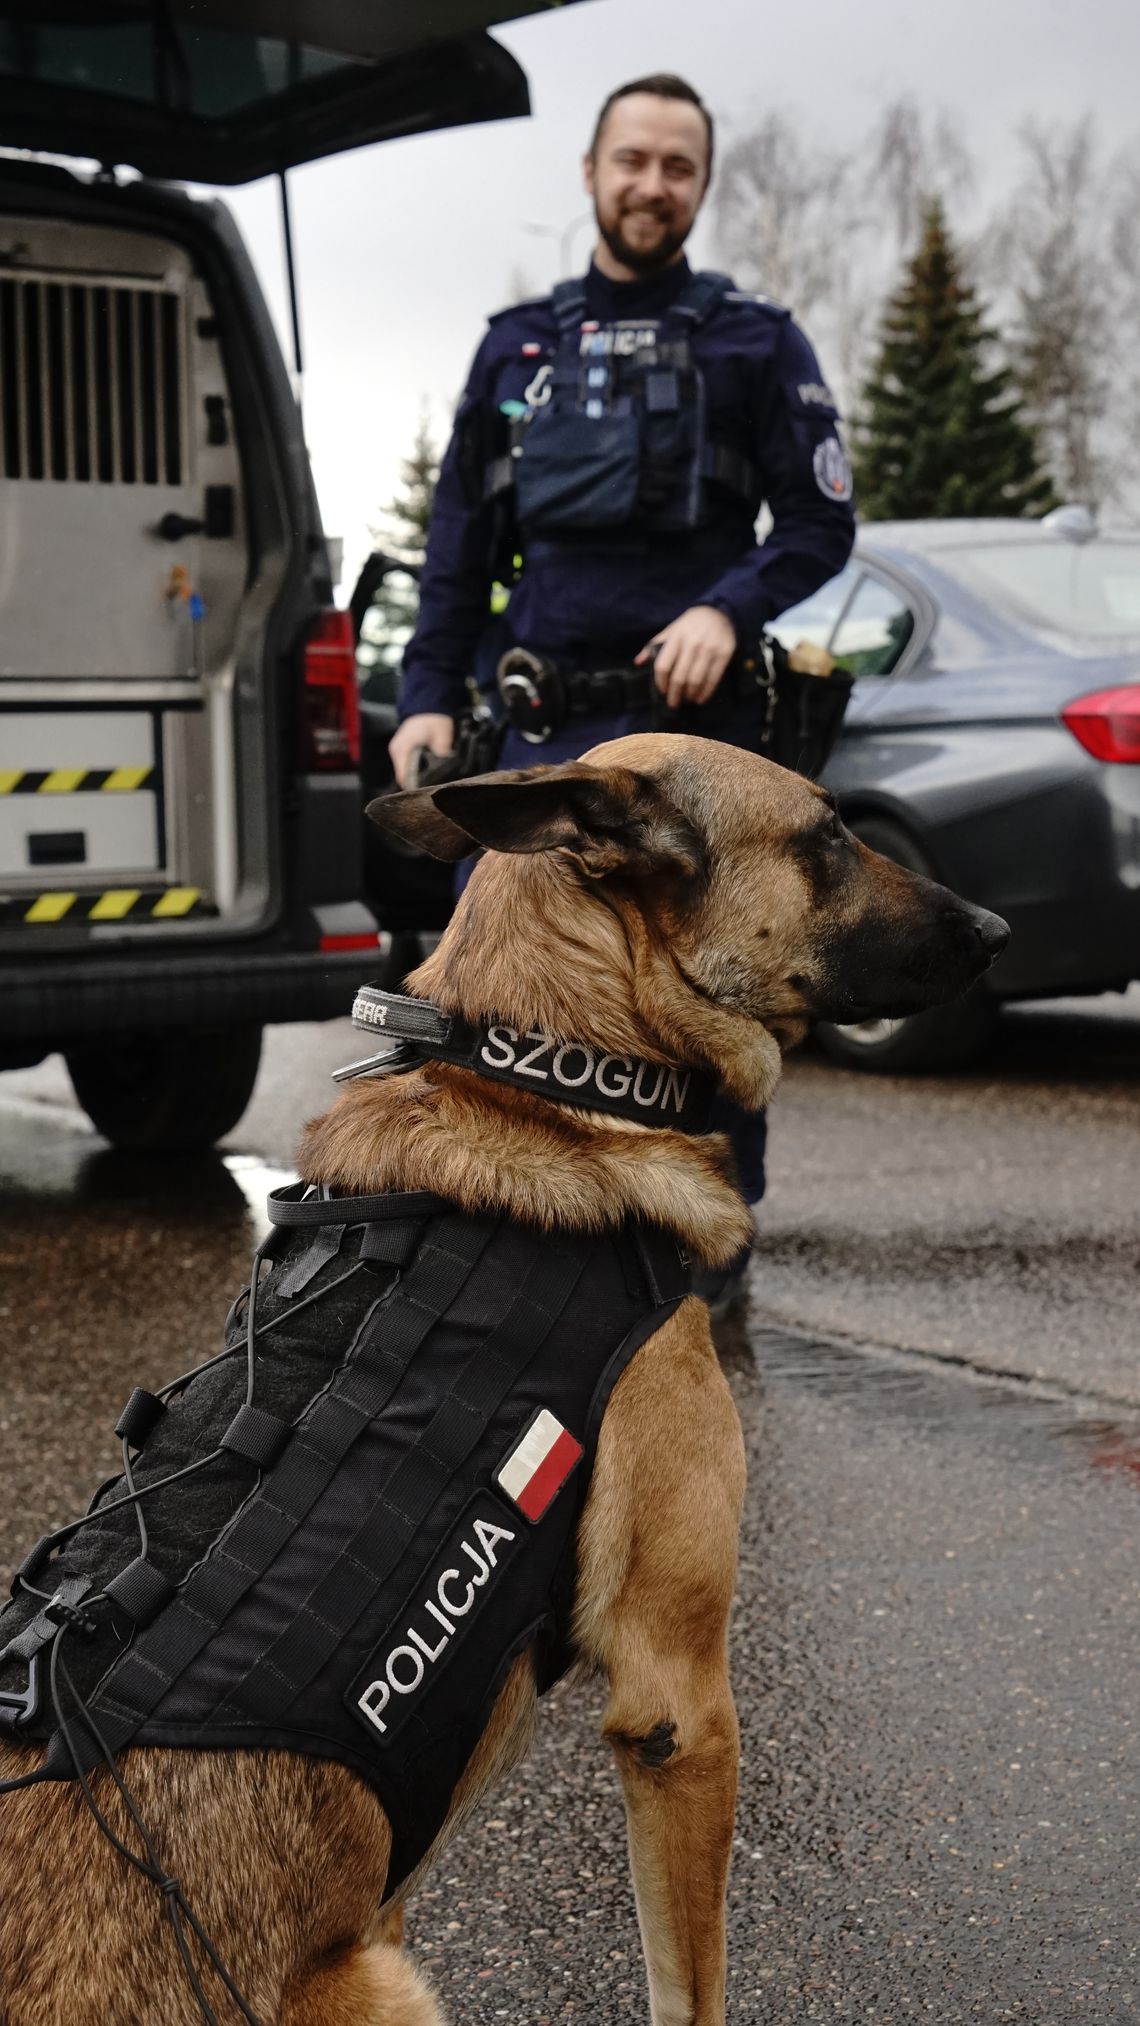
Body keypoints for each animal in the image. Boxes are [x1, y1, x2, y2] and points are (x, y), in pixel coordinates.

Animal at [2, 737, 1008, 2017]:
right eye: (826, 835)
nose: (999, 929)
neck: (550, 1071)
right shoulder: (680, 1706)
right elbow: (689, 1985)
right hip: (389, 1988)